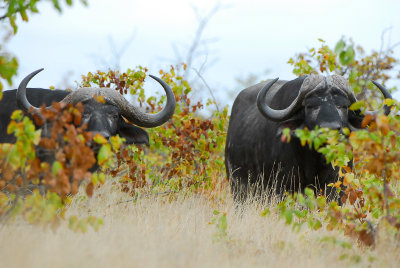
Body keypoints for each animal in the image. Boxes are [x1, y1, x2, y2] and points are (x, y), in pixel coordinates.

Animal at [227, 74, 392, 202]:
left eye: (343, 106)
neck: (314, 160)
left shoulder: (336, 184)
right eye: (311, 106)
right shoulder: (283, 186)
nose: (330, 128)